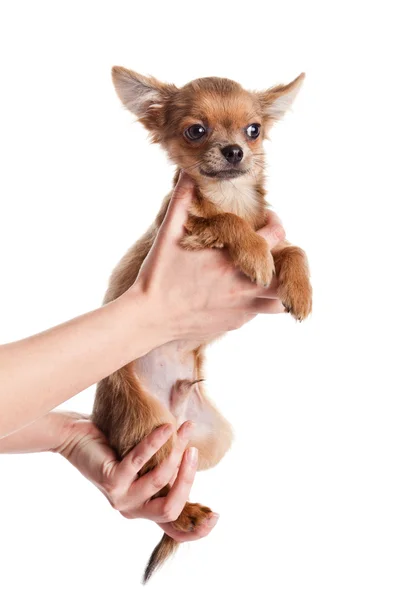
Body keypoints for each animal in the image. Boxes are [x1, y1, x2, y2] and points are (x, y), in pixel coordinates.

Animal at [93, 65, 312, 580]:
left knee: (176, 476)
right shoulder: (188, 230)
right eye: (196, 131)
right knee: (158, 490)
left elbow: (291, 248)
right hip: (145, 427)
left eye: (253, 130)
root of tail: (175, 417)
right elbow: (230, 225)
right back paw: (186, 514)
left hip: (205, 439)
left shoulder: (274, 242)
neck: (230, 195)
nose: (234, 151)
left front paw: (300, 289)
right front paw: (254, 253)